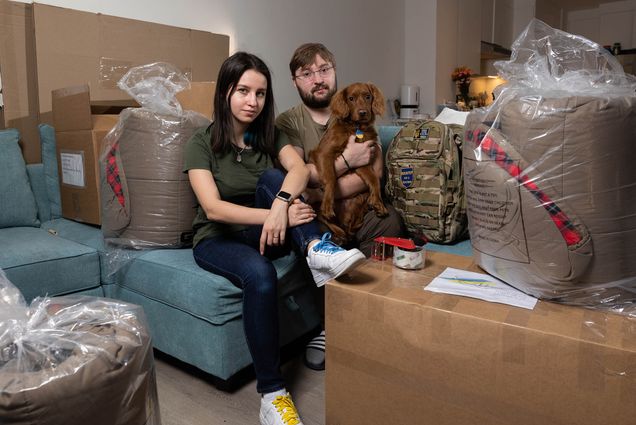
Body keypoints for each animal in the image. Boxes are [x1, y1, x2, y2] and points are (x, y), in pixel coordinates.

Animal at [308, 81, 388, 243]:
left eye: (368, 96)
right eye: (351, 98)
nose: (363, 112)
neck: (356, 128)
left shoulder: (362, 162)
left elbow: (374, 179)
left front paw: (378, 202)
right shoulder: (324, 153)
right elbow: (331, 178)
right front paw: (328, 205)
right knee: (323, 218)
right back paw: (338, 233)